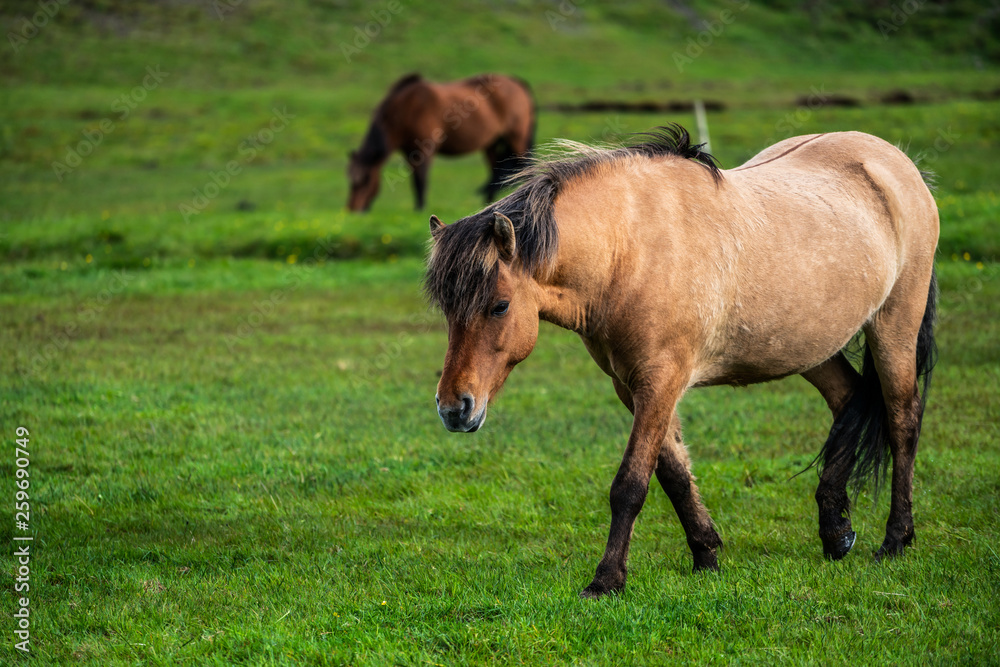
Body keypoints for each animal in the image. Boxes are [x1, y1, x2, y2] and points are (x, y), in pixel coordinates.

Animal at [348, 72, 536, 211]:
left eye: (365, 180)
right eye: (350, 179)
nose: (352, 210)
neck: (406, 108)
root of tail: (517, 82)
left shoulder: (424, 149)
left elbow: (421, 180)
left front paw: (420, 209)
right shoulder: (410, 152)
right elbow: (415, 181)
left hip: (516, 137)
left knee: (526, 167)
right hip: (492, 142)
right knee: (495, 171)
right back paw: (488, 203)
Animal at [426, 125, 940, 600]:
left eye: (499, 306)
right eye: (447, 309)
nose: (454, 410)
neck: (629, 251)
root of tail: (894, 161)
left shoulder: (660, 380)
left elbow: (631, 484)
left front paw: (606, 581)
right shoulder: (633, 385)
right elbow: (673, 473)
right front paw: (706, 554)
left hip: (894, 326)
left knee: (902, 420)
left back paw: (895, 540)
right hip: (807, 342)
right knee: (850, 399)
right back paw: (836, 533)